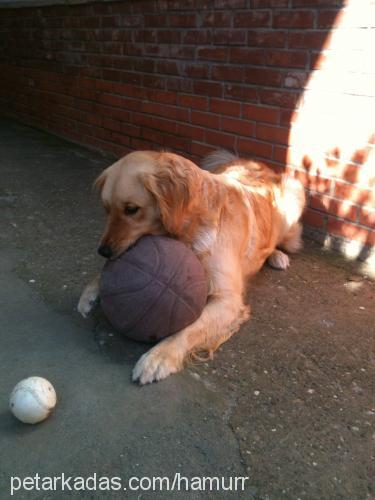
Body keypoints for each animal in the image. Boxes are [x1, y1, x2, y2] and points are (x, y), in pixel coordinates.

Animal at [78, 148, 306, 382]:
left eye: (131, 209)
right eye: (106, 209)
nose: (103, 251)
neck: (190, 227)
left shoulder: (228, 301)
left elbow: (189, 329)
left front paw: (158, 356)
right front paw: (91, 291)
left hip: (293, 201)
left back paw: (278, 256)